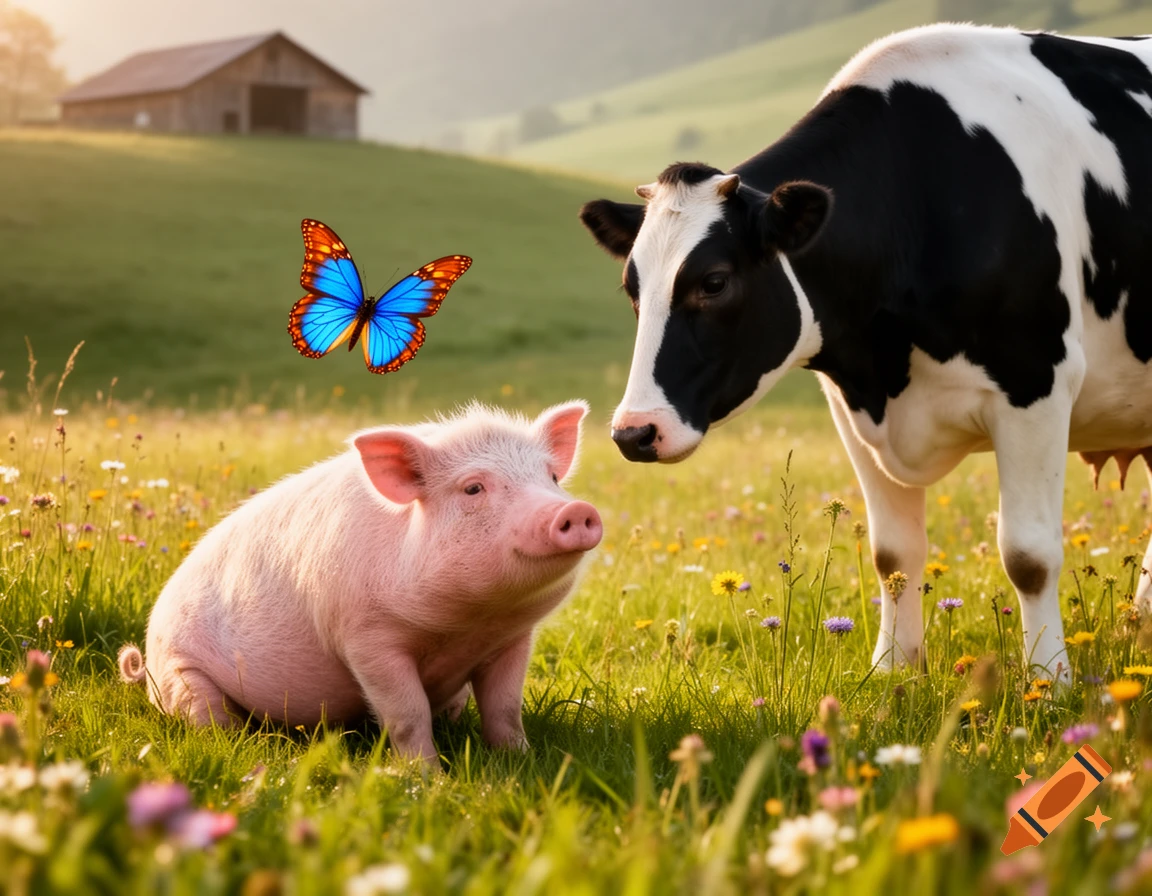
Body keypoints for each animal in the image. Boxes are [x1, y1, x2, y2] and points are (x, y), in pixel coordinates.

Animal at [117, 401, 602, 762]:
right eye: (472, 489)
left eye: (551, 477)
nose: (574, 509)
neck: (471, 623)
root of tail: (146, 656)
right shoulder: (365, 637)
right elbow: (407, 713)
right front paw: (427, 778)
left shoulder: (513, 638)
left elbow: (505, 709)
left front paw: (523, 761)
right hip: (183, 674)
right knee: (215, 723)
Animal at [579, 23, 1152, 680]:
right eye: (632, 286)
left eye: (714, 282)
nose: (633, 432)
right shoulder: (852, 403)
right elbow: (892, 554)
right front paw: (893, 672)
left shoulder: (1036, 382)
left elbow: (1028, 555)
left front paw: (1048, 682)